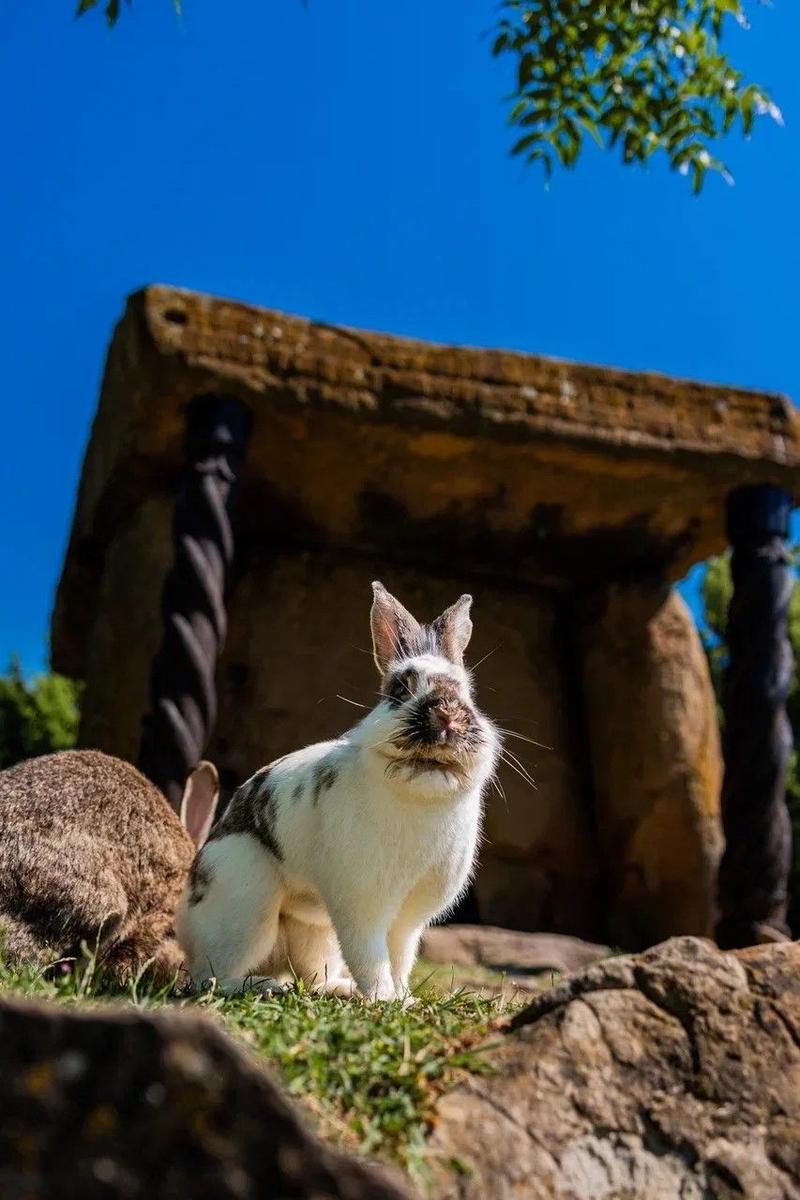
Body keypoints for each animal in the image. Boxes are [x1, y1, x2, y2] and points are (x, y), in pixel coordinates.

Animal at [176, 581, 501, 1002]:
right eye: (401, 689)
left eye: (466, 692)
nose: (446, 715)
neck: (421, 789)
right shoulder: (363, 907)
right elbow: (371, 957)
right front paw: (383, 999)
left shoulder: (408, 919)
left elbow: (400, 957)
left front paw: (404, 998)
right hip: (245, 905)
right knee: (210, 976)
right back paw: (265, 987)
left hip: (312, 930)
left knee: (311, 973)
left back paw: (338, 989)